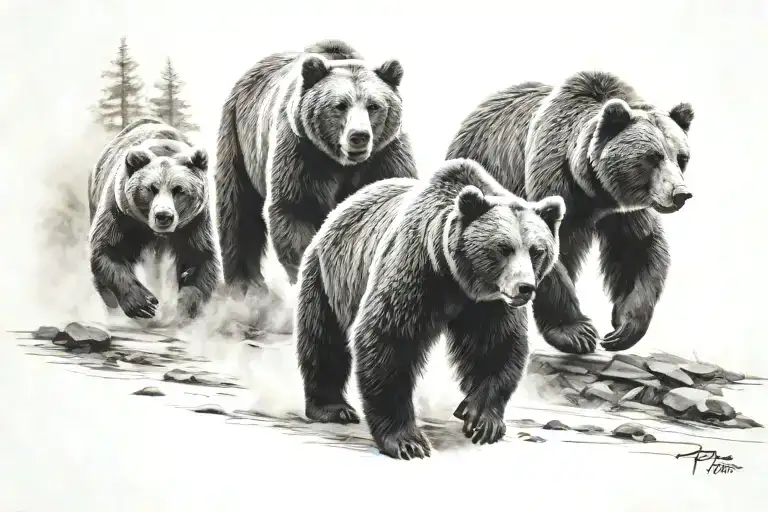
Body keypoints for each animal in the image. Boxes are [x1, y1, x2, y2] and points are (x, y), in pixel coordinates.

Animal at [88, 117, 222, 321]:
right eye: (151, 188)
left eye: (179, 190)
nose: (163, 216)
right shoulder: (121, 213)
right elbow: (108, 249)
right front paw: (144, 304)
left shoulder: (195, 222)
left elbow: (200, 258)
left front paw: (184, 306)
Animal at [215, 39, 417, 294]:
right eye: (340, 105)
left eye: (374, 106)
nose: (359, 136)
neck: (343, 164)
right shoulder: (302, 152)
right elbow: (296, 209)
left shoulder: (385, 155)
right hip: (238, 136)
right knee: (238, 206)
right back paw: (245, 283)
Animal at [294, 158, 565, 460]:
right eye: (503, 248)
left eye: (537, 250)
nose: (524, 287)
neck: (458, 278)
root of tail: (339, 209)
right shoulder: (417, 267)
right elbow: (388, 337)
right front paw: (407, 441)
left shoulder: (489, 304)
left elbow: (497, 346)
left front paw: (482, 420)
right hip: (329, 276)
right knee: (323, 338)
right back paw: (332, 408)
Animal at [446, 71, 695, 354]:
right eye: (653, 156)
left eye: (681, 157)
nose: (680, 193)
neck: (593, 190)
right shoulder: (551, 179)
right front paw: (576, 333)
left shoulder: (624, 209)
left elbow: (638, 246)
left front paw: (624, 328)